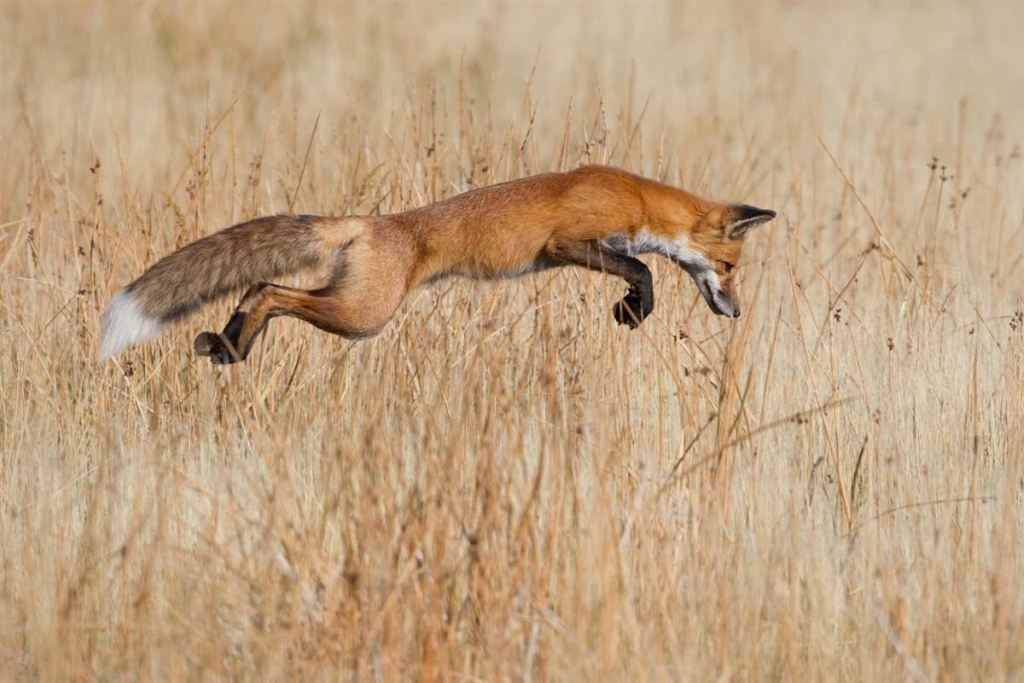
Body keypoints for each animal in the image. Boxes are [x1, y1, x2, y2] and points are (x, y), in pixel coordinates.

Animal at [101, 165, 774, 366]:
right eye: (729, 267)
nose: (737, 312)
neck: (634, 196)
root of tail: (371, 222)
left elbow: (641, 269)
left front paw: (632, 312)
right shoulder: (567, 244)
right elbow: (644, 271)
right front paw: (634, 311)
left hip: (350, 301)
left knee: (259, 286)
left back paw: (228, 345)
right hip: (363, 315)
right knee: (269, 290)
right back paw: (234, 346)